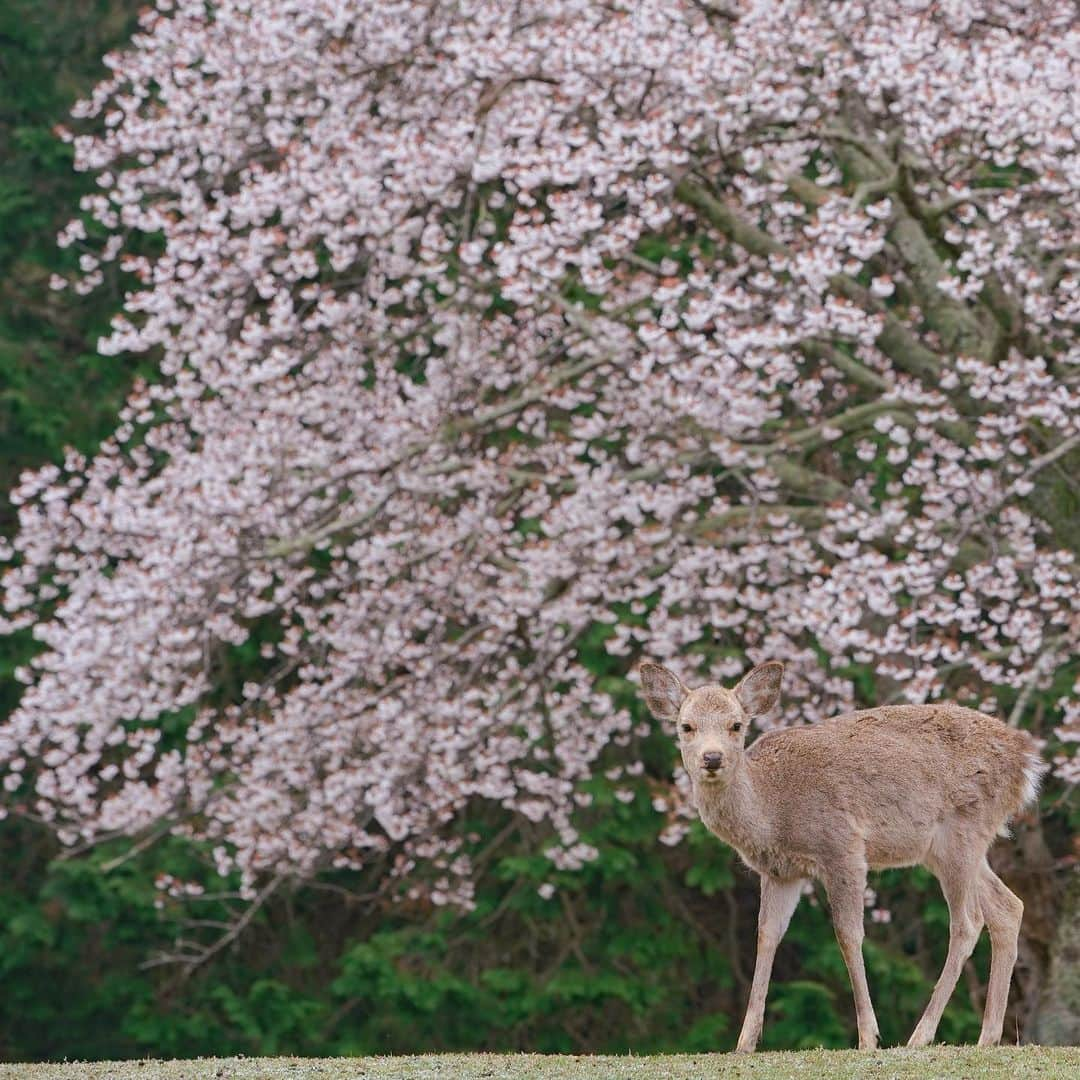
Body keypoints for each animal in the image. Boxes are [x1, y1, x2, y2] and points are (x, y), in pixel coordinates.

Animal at [635, 660, 1049, 1049]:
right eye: (686, 726)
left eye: (736, 725)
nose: (712, 758)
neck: (772, 810)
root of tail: (1026, 760)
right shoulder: (781, 872)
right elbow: (767, 935)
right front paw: (744, 1043)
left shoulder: (842, 846)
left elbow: (848, 935)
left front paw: (869, 1037)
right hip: (951, 847)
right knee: (1008, 907)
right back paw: (987, 1036)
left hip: (960, 831)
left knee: (968, 921)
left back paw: (920, 1036)